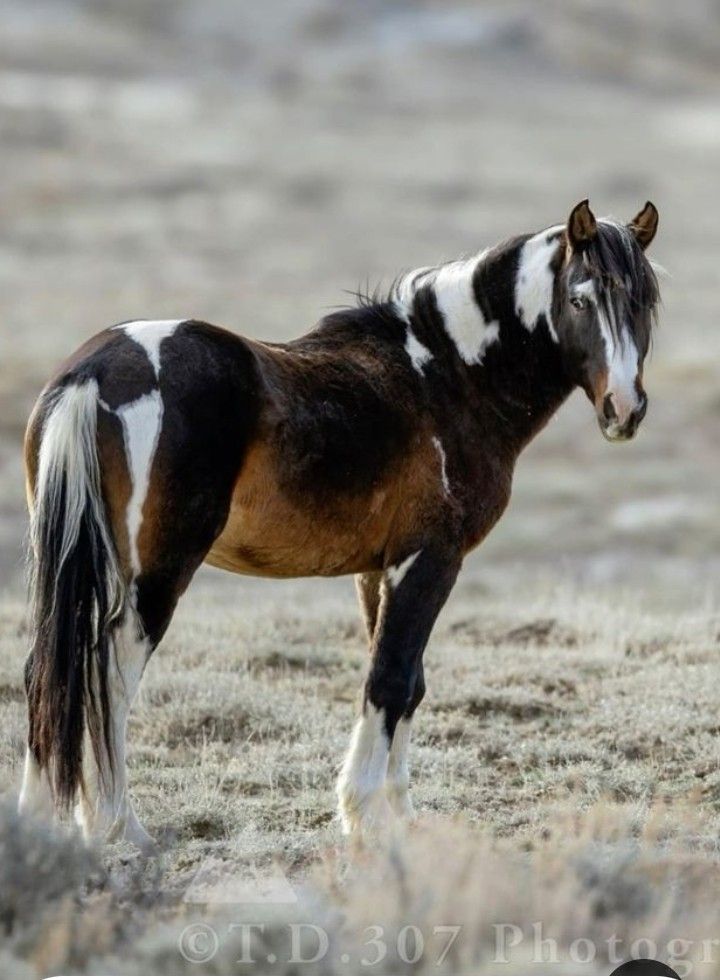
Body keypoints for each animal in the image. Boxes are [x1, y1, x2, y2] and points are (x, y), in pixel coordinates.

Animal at [18, 201, 660, 848]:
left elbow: (408, 682)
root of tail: (93, 373)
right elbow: (390, 679)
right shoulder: (429, 561)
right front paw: (367, 813)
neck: (445, 378)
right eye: (580, 299)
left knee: (48, 674)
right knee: (107, 676)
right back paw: (119, 827)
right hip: (156, 577)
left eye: (645, 300)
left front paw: (400, 816)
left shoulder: (379, 570)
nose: (624, 410)